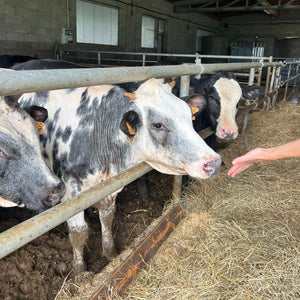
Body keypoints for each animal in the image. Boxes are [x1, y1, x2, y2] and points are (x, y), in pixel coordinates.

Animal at [18, 78, 220, 274]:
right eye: (158, 124)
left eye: (188, 115)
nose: (214, 162)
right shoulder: (70, 195)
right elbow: (78, 233)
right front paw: (80, 271)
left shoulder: (111, 187)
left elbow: (107, 218)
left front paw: (111, 253)